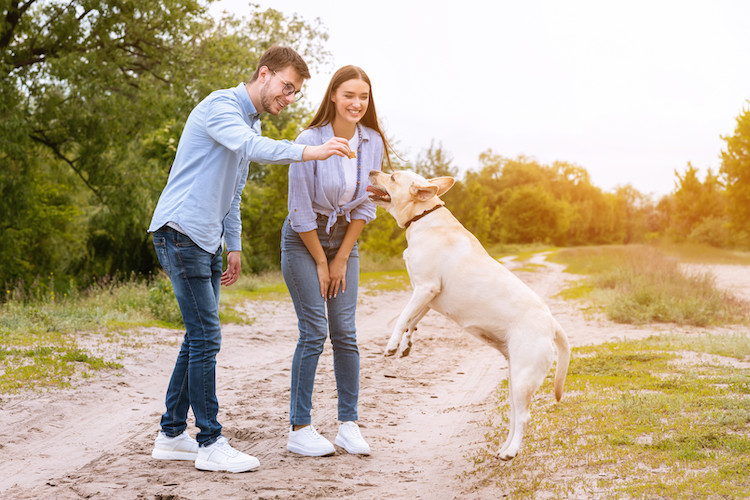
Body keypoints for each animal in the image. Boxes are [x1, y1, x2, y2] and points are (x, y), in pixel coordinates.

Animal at [368, 169, 572, 460]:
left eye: (393, 177)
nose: (372, 171)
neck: (424, 216)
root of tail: (551, 323)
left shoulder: (425, 288)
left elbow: (402, 317)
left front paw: (392, 344)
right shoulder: (426, 297)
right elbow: (412, 321)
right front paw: (406, 344)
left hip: (524, 378)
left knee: (524, 417)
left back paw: (512, 452)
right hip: (515, 380)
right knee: (514, 416)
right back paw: (504, 449)